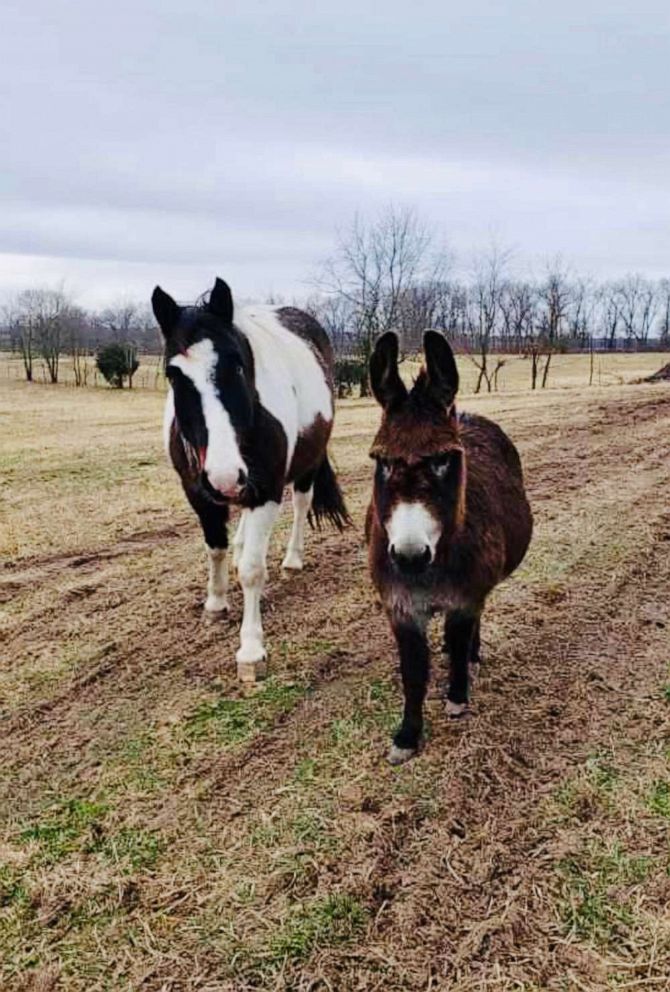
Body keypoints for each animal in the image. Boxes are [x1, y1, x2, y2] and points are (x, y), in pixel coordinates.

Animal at [153, 278, 352, 680]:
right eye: (173, 374)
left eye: (237, 364)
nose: (224, 475)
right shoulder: (199, 493)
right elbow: (215, 550)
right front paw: (215, 604)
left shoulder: (266, 491)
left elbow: (252, 571)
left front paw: (251, 649)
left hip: (303, 467)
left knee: (301, 506)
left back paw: (292, 561)